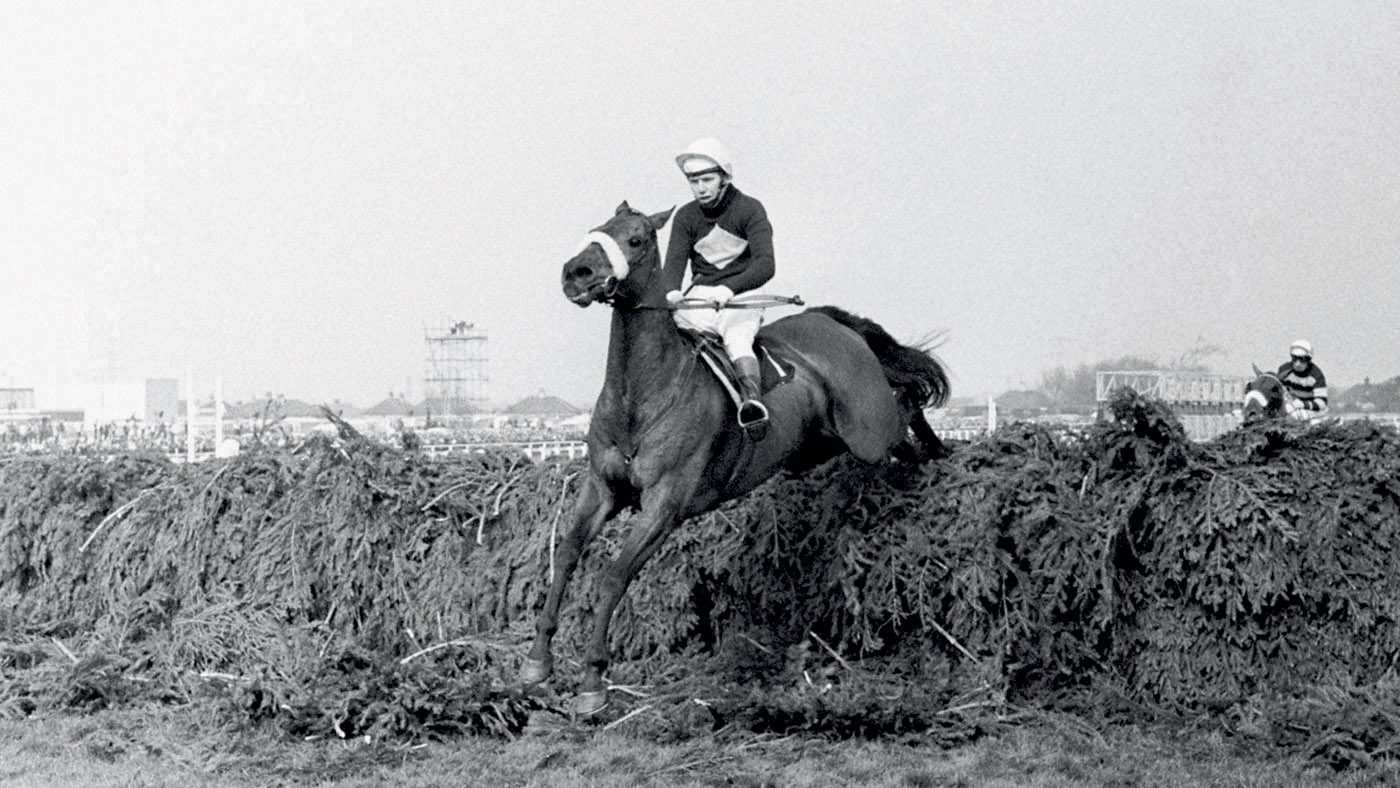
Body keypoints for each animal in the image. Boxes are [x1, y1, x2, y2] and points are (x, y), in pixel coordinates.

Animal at [526, 198, 952, 716]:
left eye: (637, 239)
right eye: (596, 229)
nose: (576, 272)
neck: (640, 395)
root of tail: (831, 321)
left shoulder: (664, 506)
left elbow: (615, 574)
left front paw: (592, 678)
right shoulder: (601, 489)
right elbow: (567, 554)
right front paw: (537, 660)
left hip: (867, 430)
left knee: (907, 400)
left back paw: (937, 450)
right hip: (823, 444)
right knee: (902, 428)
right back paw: (928, 455)